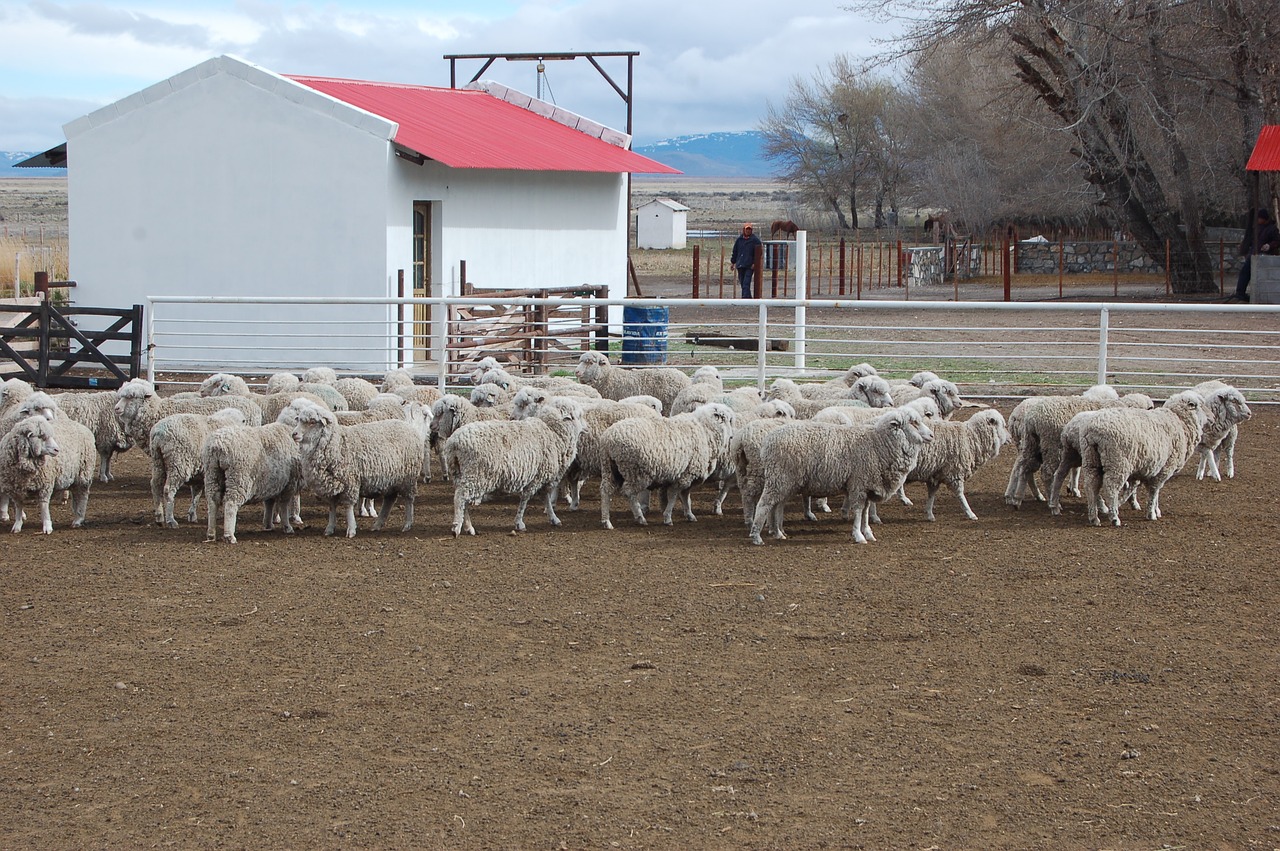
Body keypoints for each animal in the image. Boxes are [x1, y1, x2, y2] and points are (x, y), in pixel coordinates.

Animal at [288, 399, 422, 534]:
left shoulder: (350, 482)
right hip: (392, 479)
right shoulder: (331, 485)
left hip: (408, 478)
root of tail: (408, 427)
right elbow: (332, 507)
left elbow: (348, 507)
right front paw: (330, 528)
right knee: (389, 500)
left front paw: (351, 529)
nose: (294, 434)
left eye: (312, 422)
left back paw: (407, 524)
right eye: (298, 420)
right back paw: (377, 524)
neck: (337, 443)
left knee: (409, 499)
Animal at [437, 391, 583, 532]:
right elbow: (525, 499)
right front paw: (519, 523)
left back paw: (468, 527)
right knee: (460, 497)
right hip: (475, 474)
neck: (553, 432)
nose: (585, 428)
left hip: (459, 473)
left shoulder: (540, 477)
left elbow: (545, 498)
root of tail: (454, 443)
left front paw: (553, 518)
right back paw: (456, 527)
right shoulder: (537, 477)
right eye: (575, 416)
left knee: (463, 500)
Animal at [596, 401, 737, 527]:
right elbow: (674, 495)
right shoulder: (687, 474)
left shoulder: (685, 473)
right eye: (727, 420)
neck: (705, 430)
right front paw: (668, 517)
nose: (732, 437)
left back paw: (606, 521)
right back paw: (640, 518)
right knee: (629, 493)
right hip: (635, 472)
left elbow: (685, 496)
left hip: (610, 468)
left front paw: (689, 514)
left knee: (606, 490)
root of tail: (608, 440)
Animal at [747, 404, 936, 545]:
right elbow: (858, 511)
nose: (932, 435)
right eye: (913, 422)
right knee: (764, 504)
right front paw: (858, 536)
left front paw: (868, 533)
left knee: (778, 505)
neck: (878, 444)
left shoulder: (868, 486)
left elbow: (865, 512)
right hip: (778, 477)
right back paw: (756, 536)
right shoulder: (859, 484)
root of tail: (768, 441)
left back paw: (779, 533)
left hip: (786, 481)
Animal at [1080, 391, 1208, 524]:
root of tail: (1093, 431)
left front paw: (1156, 510)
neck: (1180, 422)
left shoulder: (1154, 470)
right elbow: (1154, 491)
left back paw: (1094, 517)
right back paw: (1114, 517)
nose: (1211, 417)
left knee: (1091, 485)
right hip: (1118, 463)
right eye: (1199, 405)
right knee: (1111, 488)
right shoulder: (1165, 468)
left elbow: (1154, 492)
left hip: (1091, 460)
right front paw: (1151, 513)